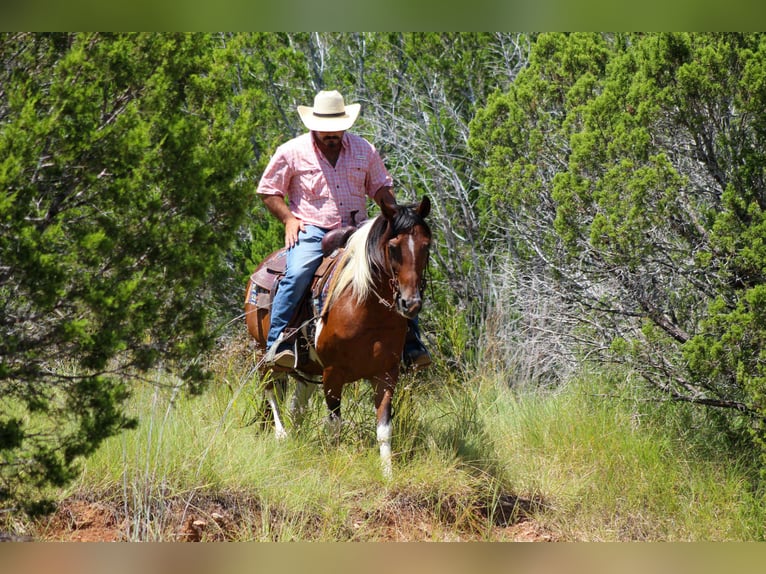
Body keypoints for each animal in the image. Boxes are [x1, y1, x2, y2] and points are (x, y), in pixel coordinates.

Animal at [244, 196, 432, 477]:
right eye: (394, 247)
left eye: (426, 245)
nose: (410, 304)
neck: (365, 307)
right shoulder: (333, 373)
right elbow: (335, 424)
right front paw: (332, 463)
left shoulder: (386, 373)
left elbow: (384, 429)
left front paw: (387, 473)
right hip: (262, 352)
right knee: (270, 391)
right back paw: (281, 435)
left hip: (308, 366)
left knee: (296, 405)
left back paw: (295, 441)